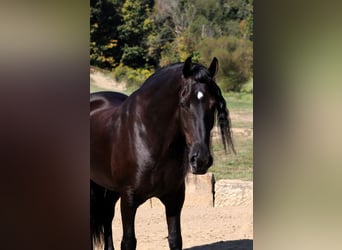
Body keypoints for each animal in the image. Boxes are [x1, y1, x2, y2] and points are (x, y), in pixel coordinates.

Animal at [91, 57, 235, 250]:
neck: (148, 138)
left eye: (213, 105)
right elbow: (128, 241)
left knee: (106, 216)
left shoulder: (174, 198)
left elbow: (175, 239)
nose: (201, 160)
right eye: (184, 104)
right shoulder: (128, 199)